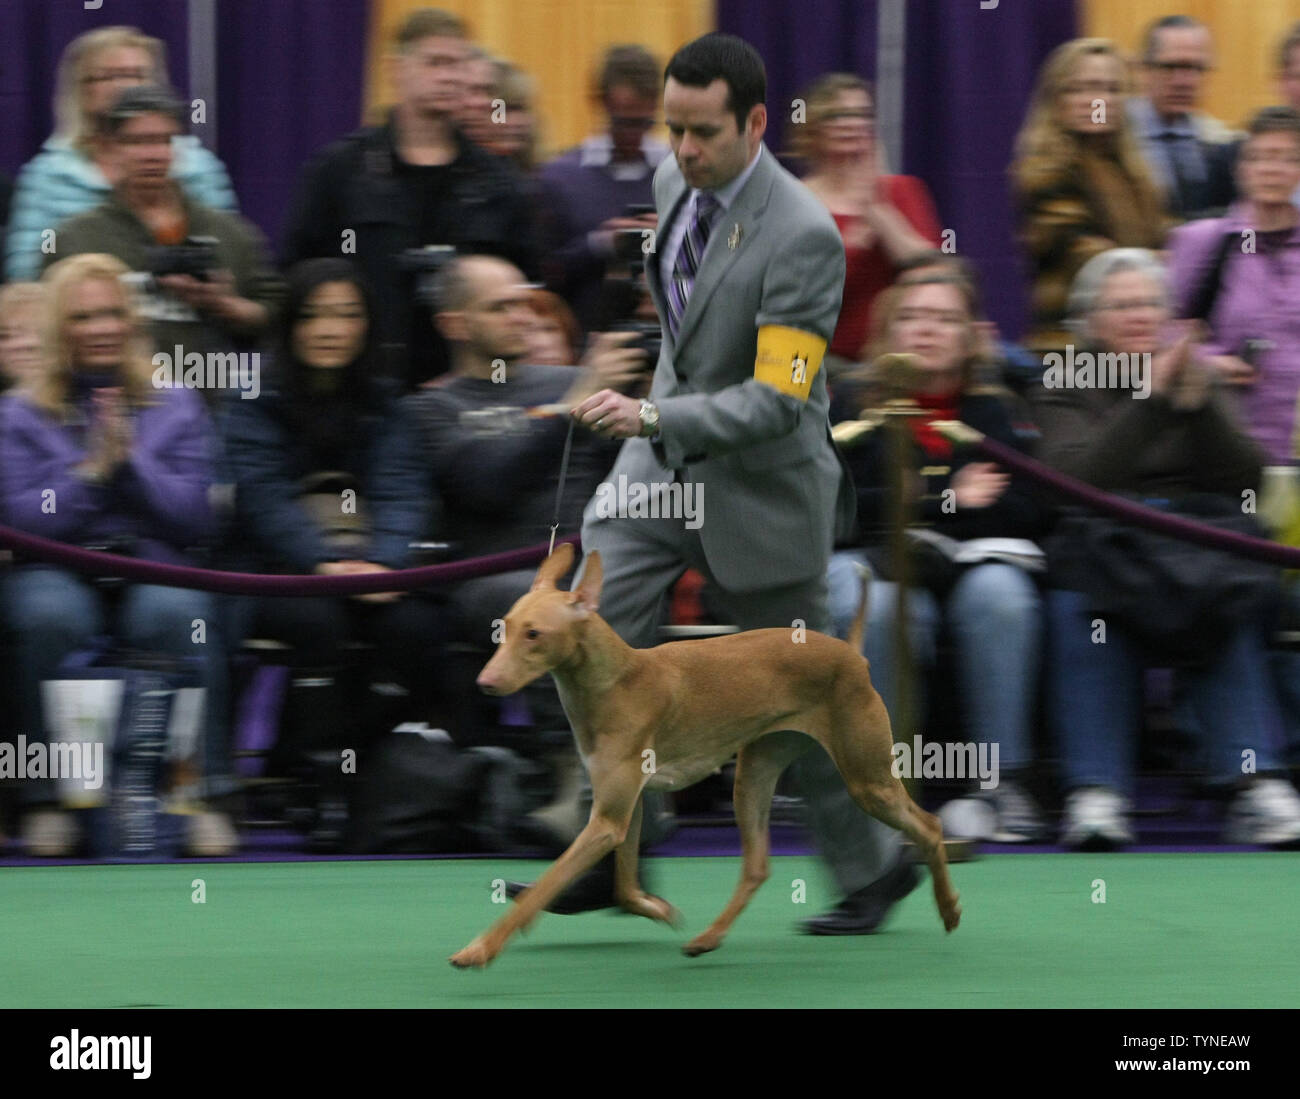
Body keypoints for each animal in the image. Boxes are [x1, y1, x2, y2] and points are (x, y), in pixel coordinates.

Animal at [452, 543, 961, 962]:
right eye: (506, 627)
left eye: (534, 634)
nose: (484, 683)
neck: (615, 681)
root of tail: (850, 653)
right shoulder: (625, 808)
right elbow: (623, 886)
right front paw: (656, 909)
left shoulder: (608, 819)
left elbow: (546, 885)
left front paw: (480, 949)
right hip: (755, 773)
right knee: (756, 867)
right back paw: (708, 938)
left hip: (867, 779)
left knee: (930, 826)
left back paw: (948, 908)